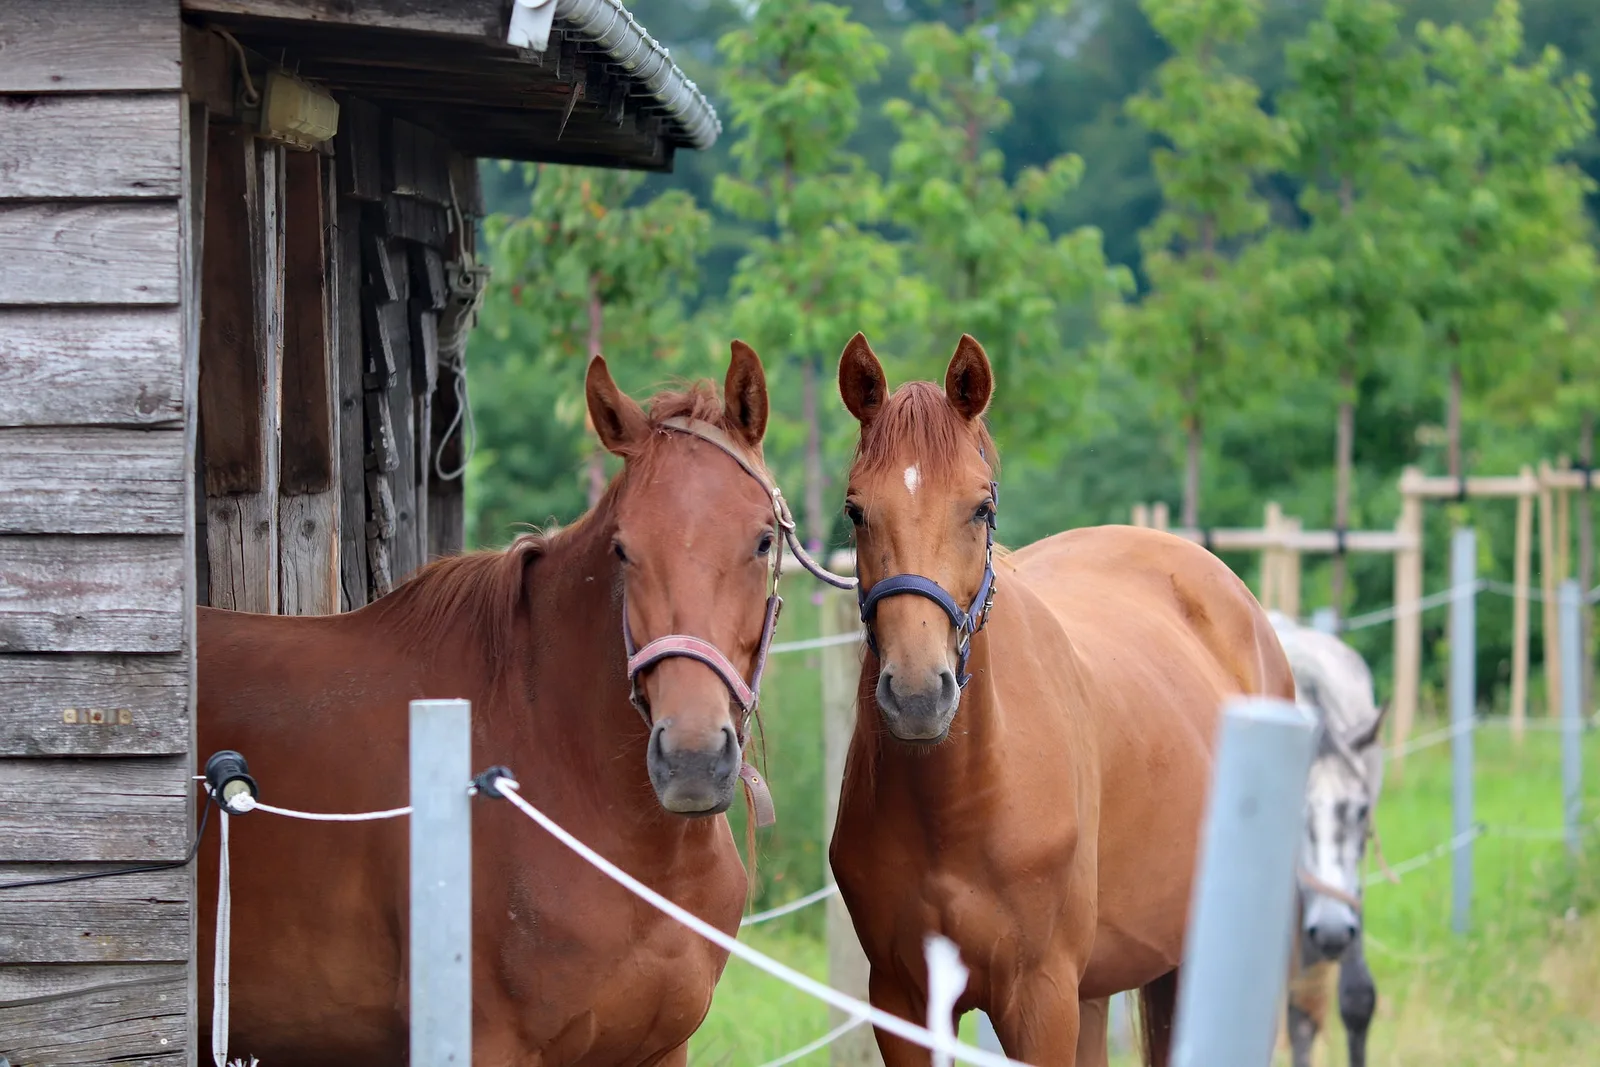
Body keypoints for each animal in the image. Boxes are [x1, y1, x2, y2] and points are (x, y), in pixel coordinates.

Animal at [826, 332, 1297, 1067]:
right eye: (856, 509)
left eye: (981, 507)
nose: (917, 693)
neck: (958, 802)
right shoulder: (902, 1001)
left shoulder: (1039, 999)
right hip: (1102, 985)